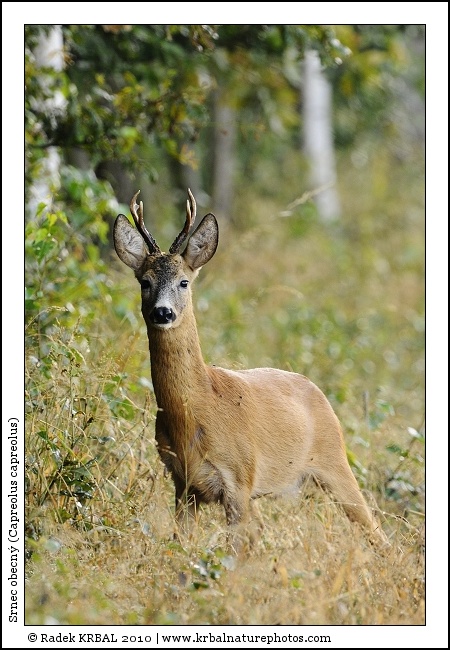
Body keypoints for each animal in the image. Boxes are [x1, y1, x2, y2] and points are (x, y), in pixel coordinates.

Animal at [113, 189, 388, 550]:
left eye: (184, 282)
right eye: (144, 282)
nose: (163, 312)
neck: (195, 412)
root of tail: (317, 391)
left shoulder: (238, 478)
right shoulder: (182, 483)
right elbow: (179, 545)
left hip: (334, 460)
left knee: (376, 530)